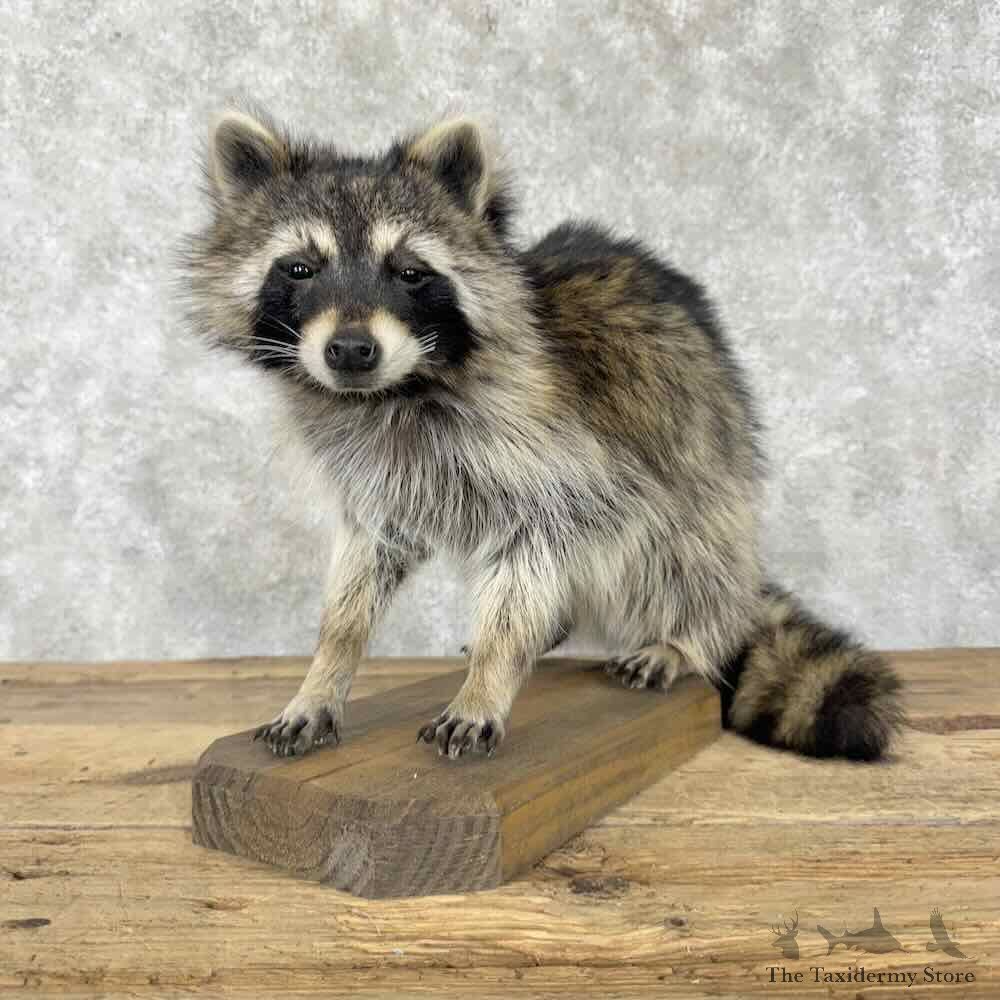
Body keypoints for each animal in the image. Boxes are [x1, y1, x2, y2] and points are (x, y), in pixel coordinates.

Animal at [181, 105, 903, 762]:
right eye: (300, 268)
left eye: (409, 271)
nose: (352, 351)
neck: (396, 391)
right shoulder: (376, 478)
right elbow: (358, 577)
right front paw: (323, 673)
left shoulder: (554, 458)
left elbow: (532, 559)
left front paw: (488, 681)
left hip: (705, 457)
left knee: (687, 555)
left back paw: (685, 637)